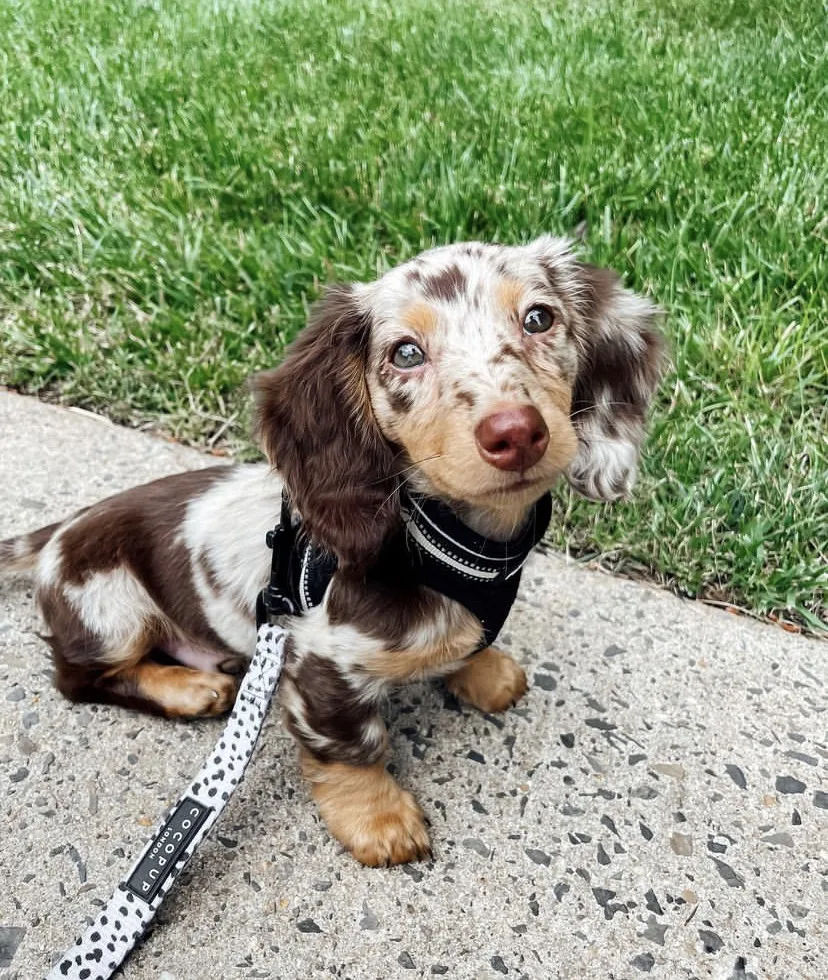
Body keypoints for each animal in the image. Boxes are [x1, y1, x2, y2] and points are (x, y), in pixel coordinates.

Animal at [0, 237, 664, 864]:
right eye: (405, 353)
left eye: (538, 319)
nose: (516, 432)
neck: (450, 547)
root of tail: (61, 530)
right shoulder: (320, 658)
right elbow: (351, 747)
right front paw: (378, 819)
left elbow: (468, 645)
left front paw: (484, 670)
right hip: (110, 611)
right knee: (78, 677)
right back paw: (188, 689)